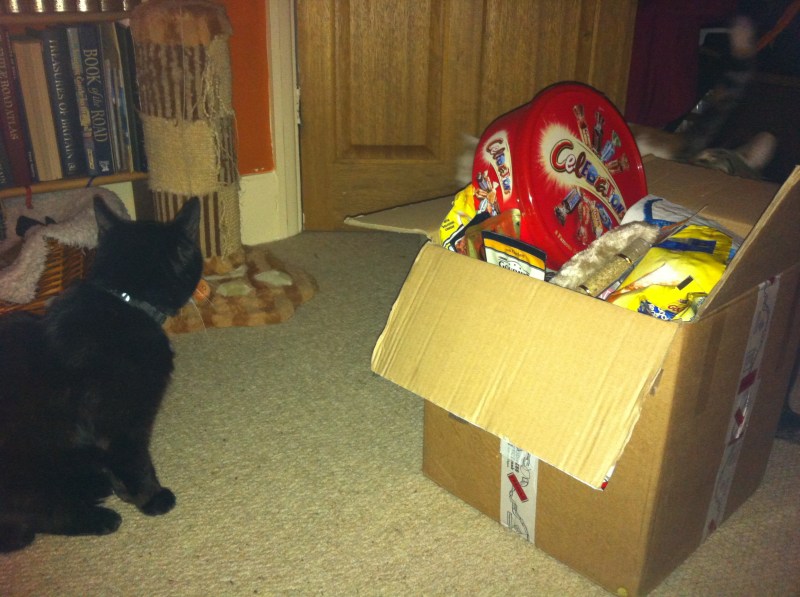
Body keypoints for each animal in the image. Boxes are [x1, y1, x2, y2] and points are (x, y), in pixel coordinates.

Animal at [0, 196, 202, 552]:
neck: (126, 302)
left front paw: (125, 491)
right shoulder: (122, 424)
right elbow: (137, 461)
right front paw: (152, 498)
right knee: (36, 517)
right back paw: (98, 519)